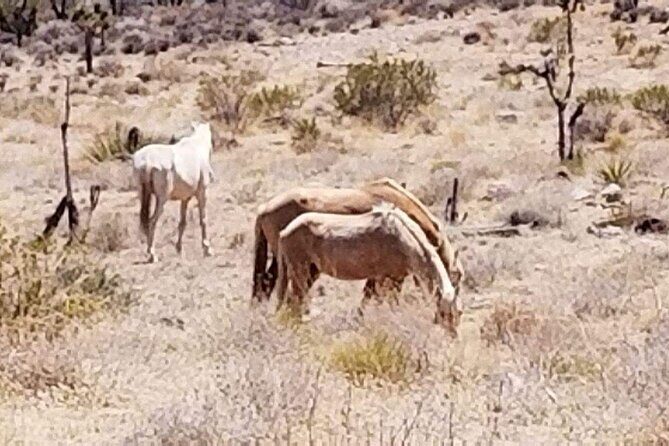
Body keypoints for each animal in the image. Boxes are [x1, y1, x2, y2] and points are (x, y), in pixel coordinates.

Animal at [131, 121, 215, 263]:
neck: (197, 145)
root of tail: (146, 162)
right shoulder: (202, 193)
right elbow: (203, 219)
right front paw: (207, 249)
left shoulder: (185, 198)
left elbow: (182, 222)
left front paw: (179, 249)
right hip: (162, 200)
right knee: (152, 221)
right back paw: (153, 255)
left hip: (143, 195)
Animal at [274, 203, 462, 336]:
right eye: (444, 313)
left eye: (459, 311)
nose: (453, 335)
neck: (402, 238)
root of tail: (284, 231)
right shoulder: (387, 278)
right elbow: (386, 303)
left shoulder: (386, 278)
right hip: (300, 270)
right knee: (295, 300)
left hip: (312, 271)